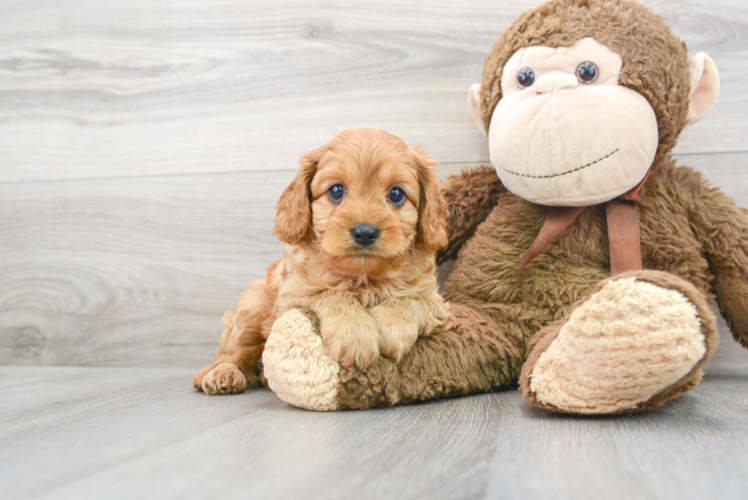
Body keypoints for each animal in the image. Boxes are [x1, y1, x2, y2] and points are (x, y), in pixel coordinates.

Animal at [193, 128, 450, 394]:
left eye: (396, 194)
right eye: (336, 191)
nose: (365, 232)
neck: (363, 277)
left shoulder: (438, 304)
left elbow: (413, 300)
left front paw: (392, 327)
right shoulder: (291, 297)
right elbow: (332, 294)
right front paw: (354, 334)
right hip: (251, 310)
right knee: (233, 351)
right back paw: (222, 374)